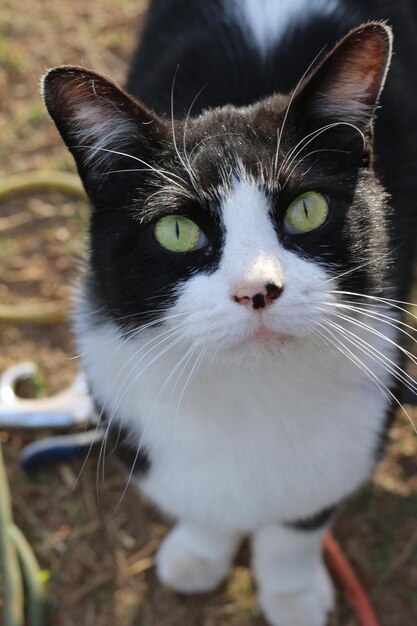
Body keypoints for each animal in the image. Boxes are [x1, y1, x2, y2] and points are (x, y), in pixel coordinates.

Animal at [41, 1, 416, 624]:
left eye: (307, 209)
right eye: (177, 230)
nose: (257, 290)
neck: (251, 389)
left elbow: (301, 516)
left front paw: (291, 593)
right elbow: (200, 498)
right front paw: (199, 554)